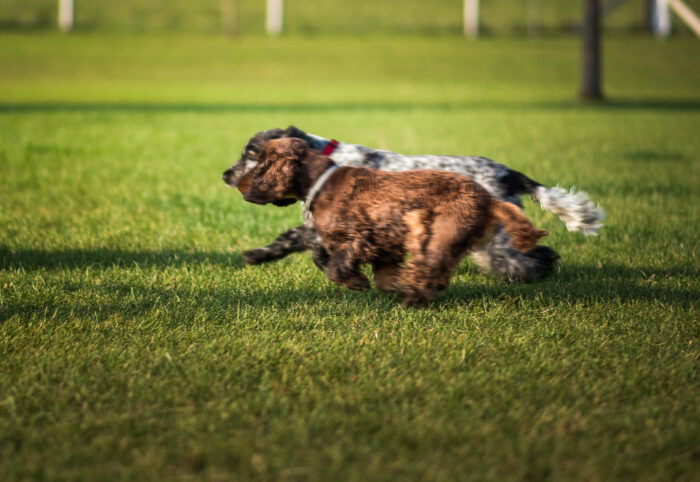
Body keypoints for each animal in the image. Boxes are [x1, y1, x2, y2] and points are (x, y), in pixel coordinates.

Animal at [223, 125, 600, 282]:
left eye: (251, 154)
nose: (225, 174)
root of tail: (508, 173)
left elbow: (296, 238)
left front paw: (258, 255)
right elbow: (311, 244)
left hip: (491, 240)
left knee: (528, 259)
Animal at [238, 138, 548, 306]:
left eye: (259, 165)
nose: (236, 181)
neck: (322, 182)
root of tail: (489, 199)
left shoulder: (360, 236)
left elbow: (336, 267)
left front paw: (357, 282)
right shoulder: (386, 247)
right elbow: (385, 277)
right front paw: (390, 284)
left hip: (440, 233)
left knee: (432, 271)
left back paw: (413, 298)